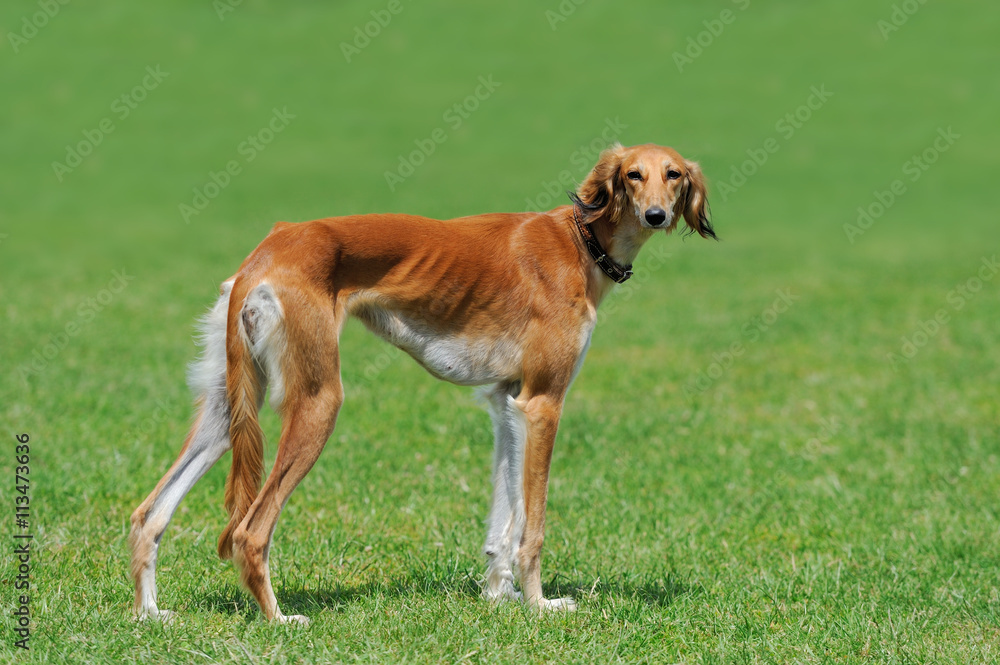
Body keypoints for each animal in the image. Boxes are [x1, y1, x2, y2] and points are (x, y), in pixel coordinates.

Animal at [129, 141, 716, 624]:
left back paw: (150, 613)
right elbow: (532, 525)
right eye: (634, 175)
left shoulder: (507, 401)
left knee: (148, 515)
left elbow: (503, 519)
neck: (581, 239)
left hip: (227, 408)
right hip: (319, 400)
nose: (657, 214)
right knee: (250, 531)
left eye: (673, 175)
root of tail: (266, 252)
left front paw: (499, 596)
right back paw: (278, 619)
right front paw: (538, 605)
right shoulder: (543, 403)